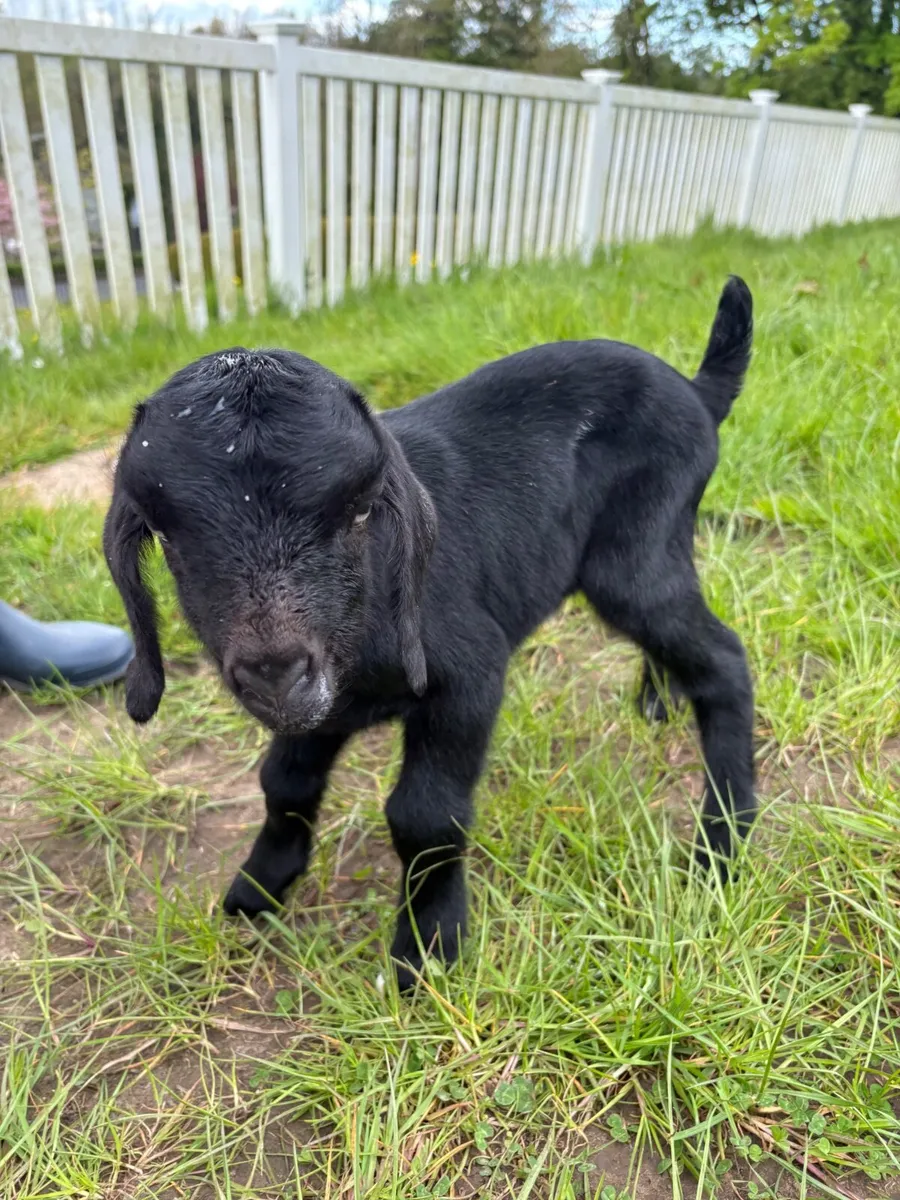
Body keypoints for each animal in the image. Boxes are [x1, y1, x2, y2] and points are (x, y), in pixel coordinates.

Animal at [104, 278, 755, 989]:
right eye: (166, 535)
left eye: (359, 512)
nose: (274, 672)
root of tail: (696, 391)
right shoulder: (320, 708)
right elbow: (283, 782)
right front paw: (259, 885)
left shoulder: (469, 675)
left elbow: (424, 815)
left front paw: (427, 946)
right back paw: (659, 700)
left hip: (636, 555)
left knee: (723, 660)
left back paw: (723, 842)